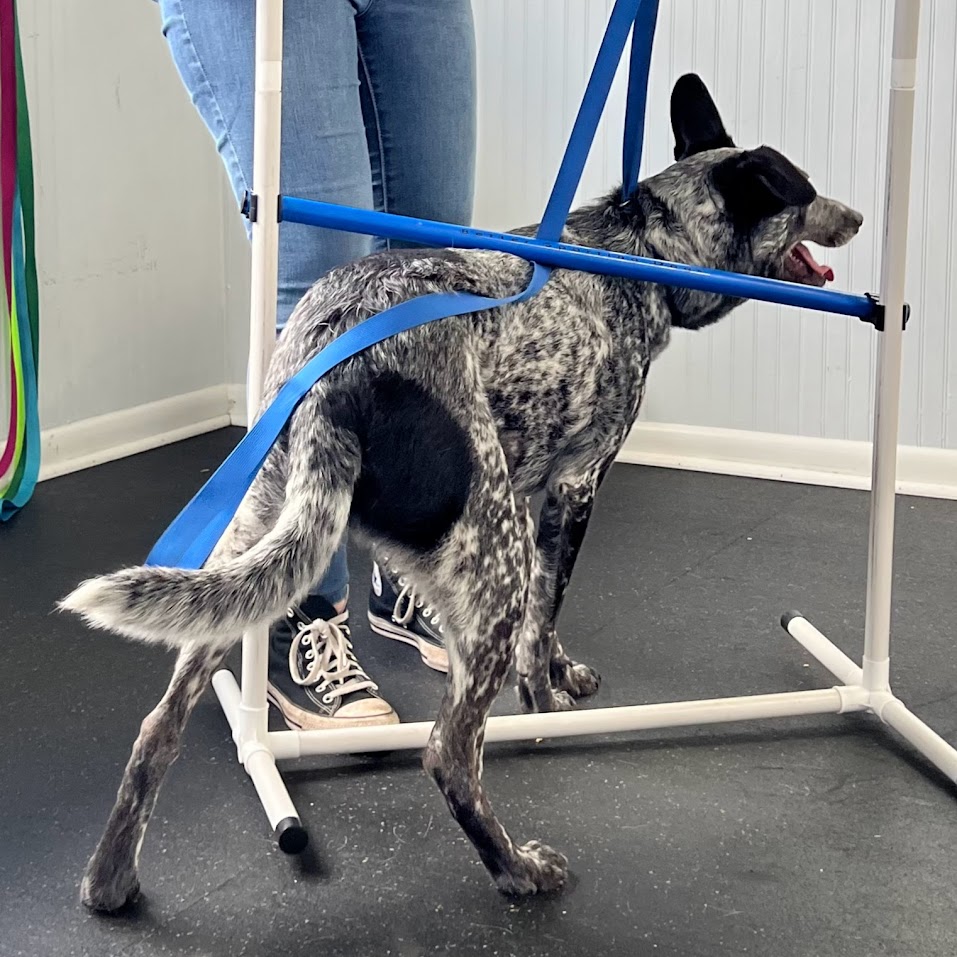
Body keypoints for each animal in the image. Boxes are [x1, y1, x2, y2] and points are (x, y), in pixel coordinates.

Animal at [63, 76, 864, 912]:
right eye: (805, 192)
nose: (859, 216)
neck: (641, 248)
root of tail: (333, 374)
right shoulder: (576, 484)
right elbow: (544, 619)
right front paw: (544, 705)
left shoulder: (539, 486)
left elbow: (550, 613)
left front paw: (561, 672)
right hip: (490, 553)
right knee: (450, 751)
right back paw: (516, 868)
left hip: (254, 550)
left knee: (159, 727)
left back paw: (111, 877)